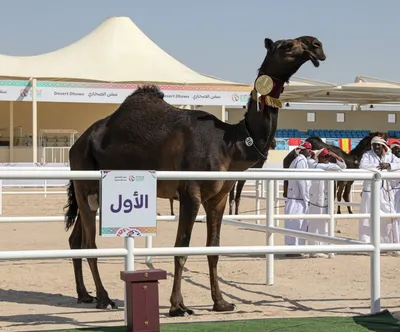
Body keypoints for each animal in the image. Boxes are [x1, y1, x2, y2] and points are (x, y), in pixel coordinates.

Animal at [62, 35, 324, 318]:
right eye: (287, 45)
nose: (316, 46)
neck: (231, 144)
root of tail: (77, 144)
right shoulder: (190, 193)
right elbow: (182, 247)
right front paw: (178, 305)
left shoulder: (218, 197)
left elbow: (213, 249)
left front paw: (221, 302)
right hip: (86, 183)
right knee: (90, 242)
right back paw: (104, 298)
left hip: (92, 192)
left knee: (76, 238)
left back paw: (84, 294)